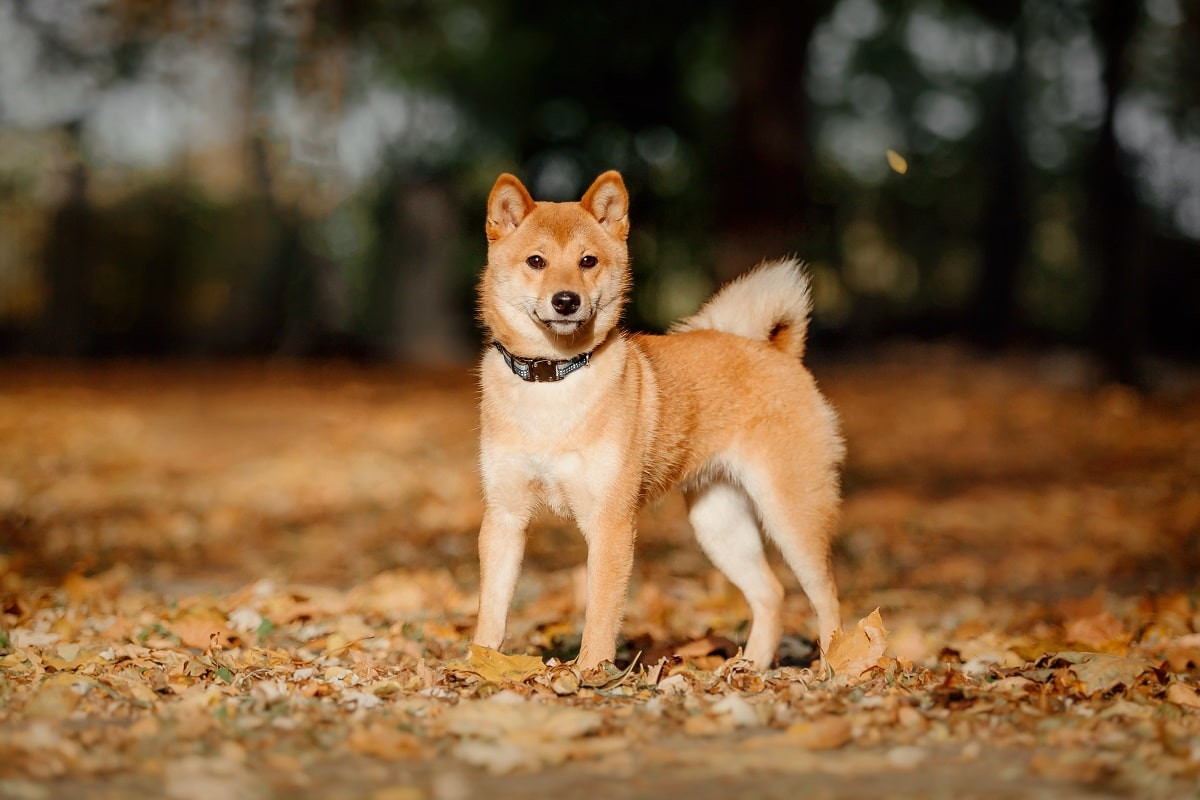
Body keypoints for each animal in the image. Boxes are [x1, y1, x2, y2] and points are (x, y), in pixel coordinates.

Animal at [472, 172, 849, 671]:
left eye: (588, 261)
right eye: (536, 261)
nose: (566, 300)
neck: (553, 380)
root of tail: (778, 354)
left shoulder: (610, 522)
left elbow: (601, 613)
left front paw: (589, 672)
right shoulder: (506, 516)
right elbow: (492, 608)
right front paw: (477, 664)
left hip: (792, 514)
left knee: (826, 594)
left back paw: (838, 665)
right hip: (719, 524)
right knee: (771, 592)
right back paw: (750, 665)